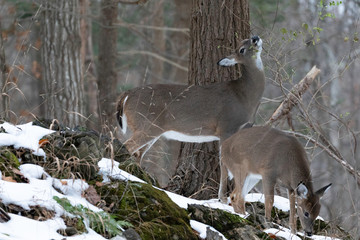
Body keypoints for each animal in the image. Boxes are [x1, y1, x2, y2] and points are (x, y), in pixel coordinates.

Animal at [116, 35, 266, 199]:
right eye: (242, 49)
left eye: (247, 39)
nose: (255, 38)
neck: (244, 96)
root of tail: (126, 95)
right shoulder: (226, 127)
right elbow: (224, 165)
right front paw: (222, 198)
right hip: (147, 125)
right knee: (128, 145)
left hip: (151, 129)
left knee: (138, 153)